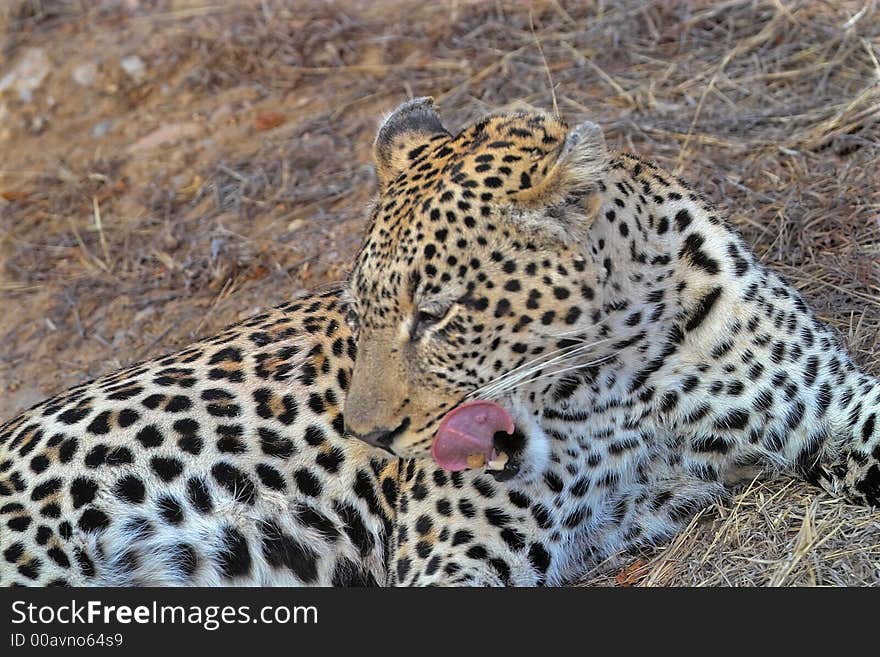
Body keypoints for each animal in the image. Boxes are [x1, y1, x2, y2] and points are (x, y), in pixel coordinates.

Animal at [1, 96, 880, 584]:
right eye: (362, 314)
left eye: (436, 313)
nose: (368, 433)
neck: (622, 377)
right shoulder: (452, 553)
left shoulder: (836, 406)